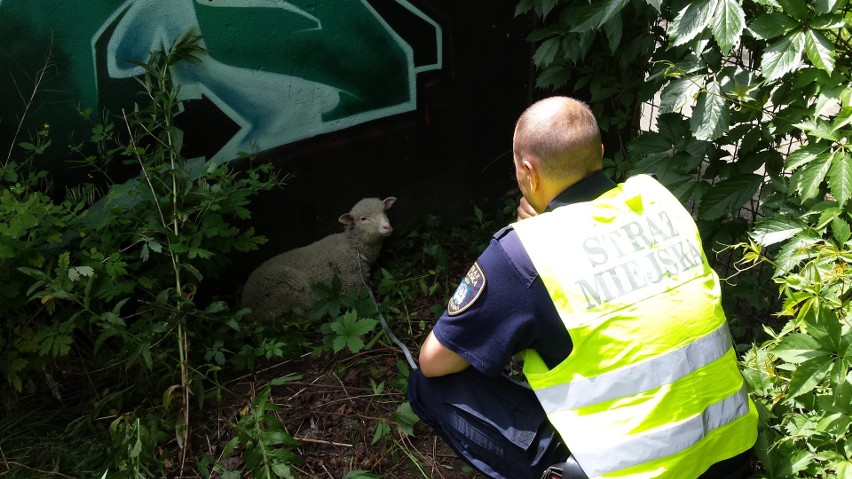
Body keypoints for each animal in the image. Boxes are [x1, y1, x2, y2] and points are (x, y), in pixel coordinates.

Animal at [241, 197, 398, 320]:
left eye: (384, 211)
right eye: (363, 219)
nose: (387, 227)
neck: (353, 247)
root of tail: (246, 303)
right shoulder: (351, 286)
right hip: (287, 288)